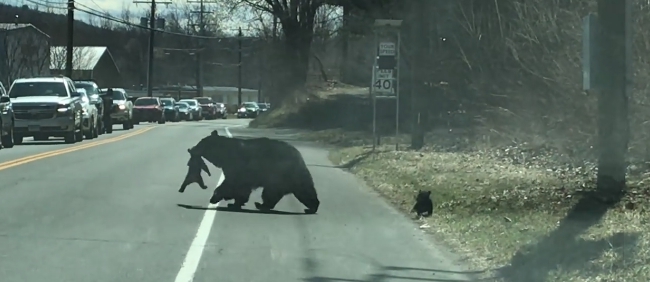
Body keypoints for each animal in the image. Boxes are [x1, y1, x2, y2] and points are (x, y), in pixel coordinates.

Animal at [187, 130, 318, 214]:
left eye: (200, 143)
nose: (190, 148)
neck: (224, 154)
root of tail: (299, 157)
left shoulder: (237, 165)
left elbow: (233, 183)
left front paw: (216, 196)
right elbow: (240, 188)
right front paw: (235, 203)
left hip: (282, 174)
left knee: (278, 192)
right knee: (302, 190)